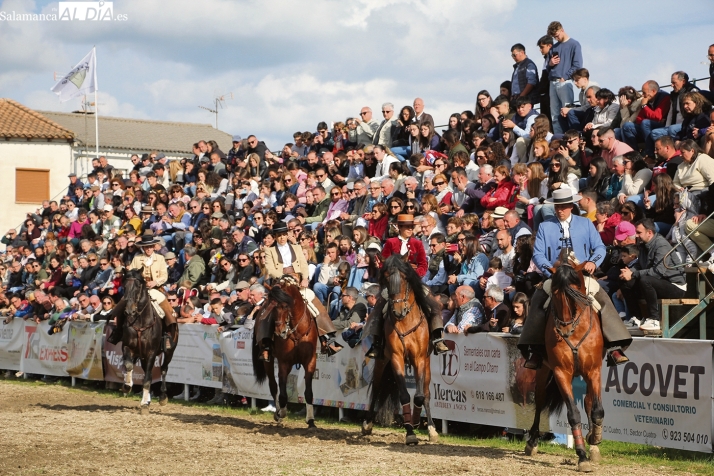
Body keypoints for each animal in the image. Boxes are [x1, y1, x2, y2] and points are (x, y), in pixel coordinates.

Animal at [120, 269, 178, 414]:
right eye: (124, 286)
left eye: (138, 286)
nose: (129, 310)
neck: (140, 321)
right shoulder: (127, 347)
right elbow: (129, 366)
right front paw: (127, 386)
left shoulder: (151, 353)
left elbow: (147, 379)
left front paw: (145, 404)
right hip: (143, 357)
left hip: (169, 352)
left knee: (163, 369)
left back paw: (162, 397)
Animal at [251, 278, 319, 427]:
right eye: (272, 307)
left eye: (286, 306)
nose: (279, 332)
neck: (297, 331)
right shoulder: (284, 363)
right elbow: (282, 393)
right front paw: (281, 413)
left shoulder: (310, 361)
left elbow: (309, 392)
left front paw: (311, 420)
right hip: (268, 362)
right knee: (273, 386)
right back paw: (278, 414)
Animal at [362, 254, 439, 445]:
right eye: (386, 278)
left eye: (404, 278)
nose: (398, 311)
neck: (405, 320)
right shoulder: (396, 358)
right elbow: (404, 395)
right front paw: (410, 431)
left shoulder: (419, 358)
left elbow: (419, 396)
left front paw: (417, 421)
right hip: (382, 362)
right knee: (376, 389)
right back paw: (367, 424)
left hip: (427, 364)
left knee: (426, 393)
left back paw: (431, 429)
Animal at [524, 259, 605, 473]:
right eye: (556, 293)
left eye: (576, 291)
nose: (565, 330)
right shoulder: (561, 373)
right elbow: (573, 414)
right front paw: (582, 455)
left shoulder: (594, 371)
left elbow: (596, 410)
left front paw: (594, 438)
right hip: (544, 371)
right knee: (540, 401)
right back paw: (532, 442)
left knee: (589, 401)